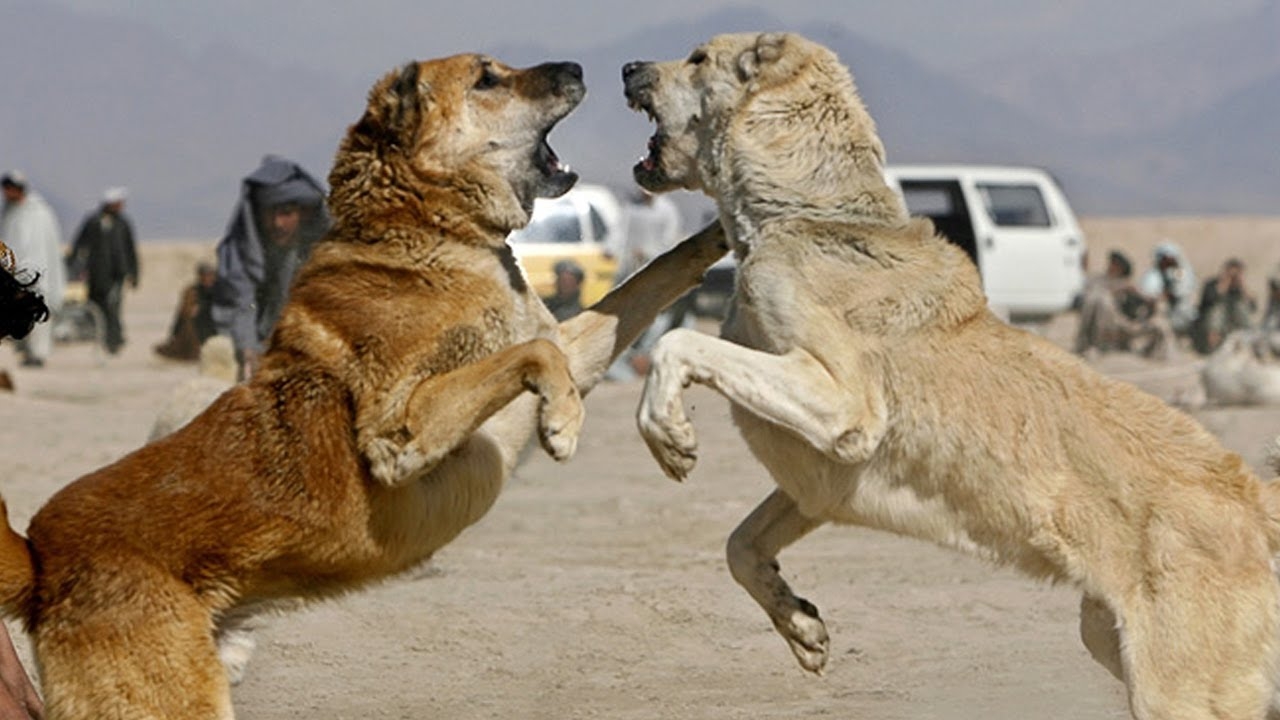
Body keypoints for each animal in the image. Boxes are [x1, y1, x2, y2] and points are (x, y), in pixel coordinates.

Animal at [0, 53, 721, 712]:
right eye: (488, 78)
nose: (579, 66)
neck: (430, 234)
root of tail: (40, 556)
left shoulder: (574, 346)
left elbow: (650, 279)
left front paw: (722, 229)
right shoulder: (398, 431)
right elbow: (535, 354)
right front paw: (563, 424)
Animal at [624, 33, 1280, 717]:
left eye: (698, 59)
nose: (627, 68)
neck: (805, 215)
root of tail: (1259, 502)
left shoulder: (844, 404)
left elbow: (676, 342)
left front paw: (669, 435)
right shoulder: (818, 483)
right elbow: (740, 546)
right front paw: (800, 625)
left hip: (1175, 692)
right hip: (1112, 637)